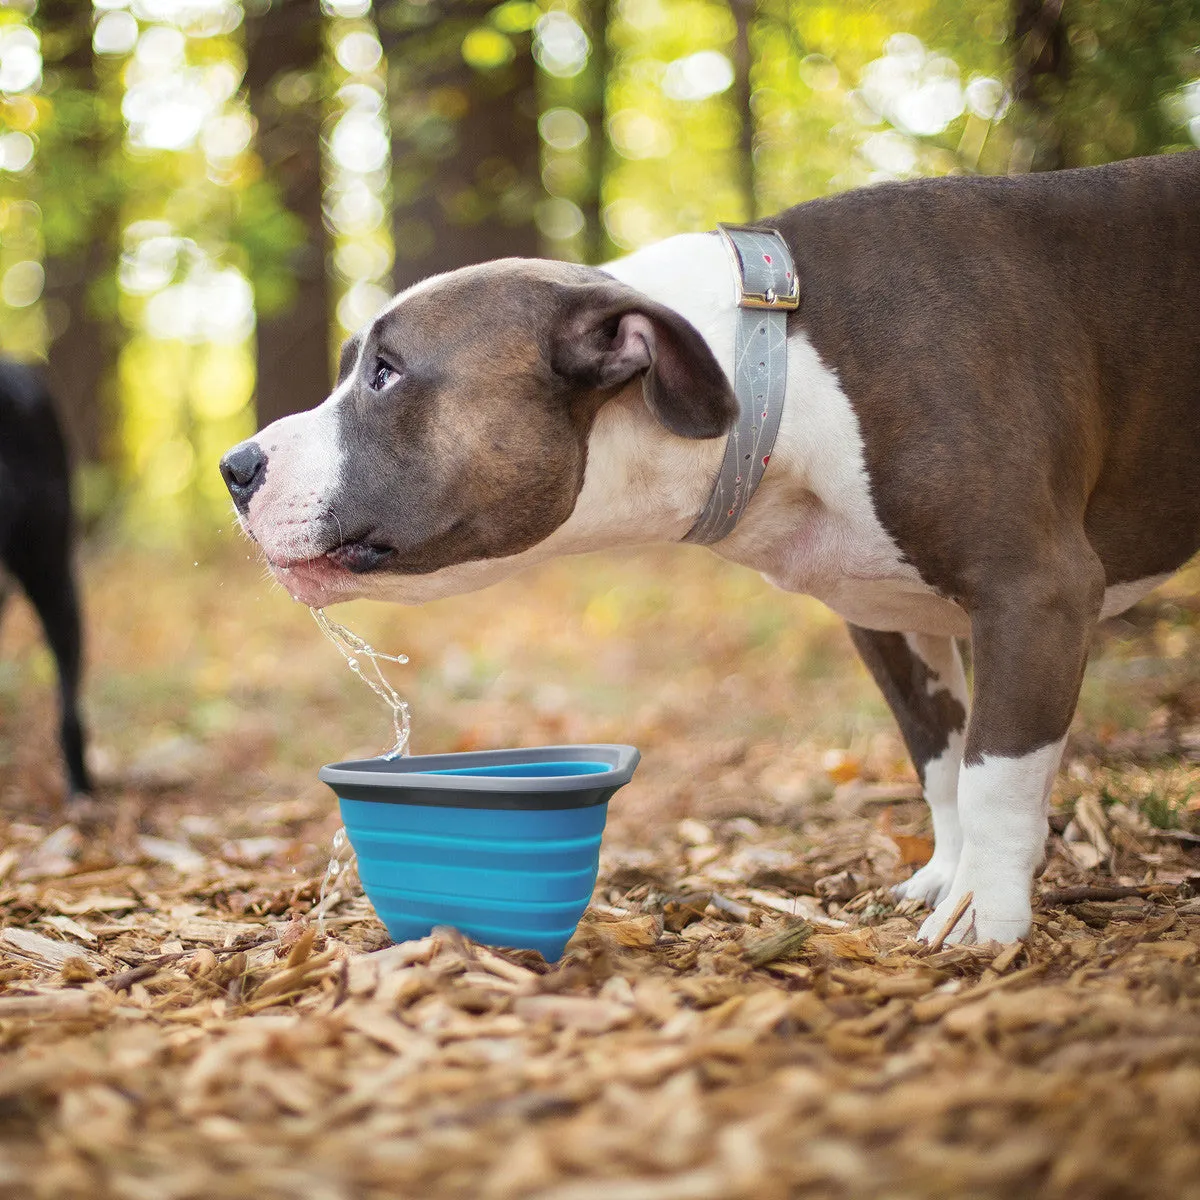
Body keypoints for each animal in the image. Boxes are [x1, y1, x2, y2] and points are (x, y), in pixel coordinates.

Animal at [223, 150, 1200, 940]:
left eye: (386, 375)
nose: (236, 465)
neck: (779, 370)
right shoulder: (889, 620)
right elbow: (944, 763)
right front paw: (946, 879)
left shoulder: (1037, 594)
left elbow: (996, 778)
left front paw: (985, 918)